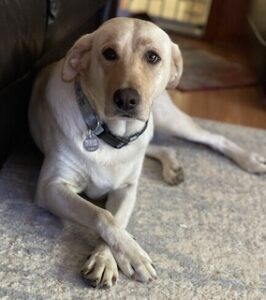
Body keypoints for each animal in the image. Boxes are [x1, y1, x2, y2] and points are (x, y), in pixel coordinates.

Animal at [28, 17, 264, 288]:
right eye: (109, 53)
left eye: (152, 57)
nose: (126, 99)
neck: (111, 136)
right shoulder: (51, 186)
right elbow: (102, 215)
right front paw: (130, 255)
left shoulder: (127, 189)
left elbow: (116, 218)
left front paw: (105, 258)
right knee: (162, 146)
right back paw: (173, 167)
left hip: (168, 119)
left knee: (214, 137)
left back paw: (249, 160)